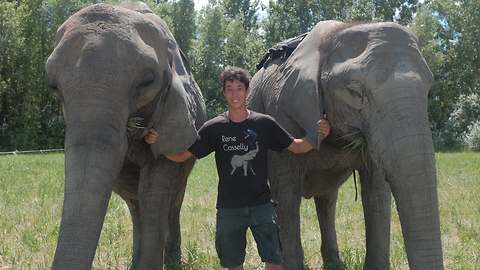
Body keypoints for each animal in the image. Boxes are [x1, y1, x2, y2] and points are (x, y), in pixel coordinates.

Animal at [46, 2, 207, 270]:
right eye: (53, 85)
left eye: (148, 81)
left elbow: (154, 192)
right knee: (135, 205)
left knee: (171, 200)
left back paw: (173, 262)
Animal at [249, 21, 444, 270]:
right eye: (353, 92)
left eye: (429, 92)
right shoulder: (279, 115)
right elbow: (286, 198)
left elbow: (377, 195)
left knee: (327, 201)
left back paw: (335, 263)